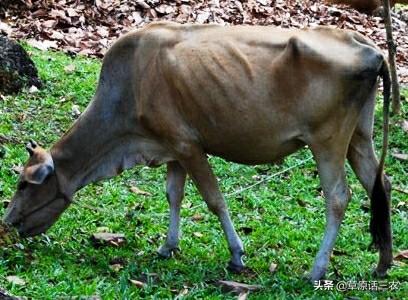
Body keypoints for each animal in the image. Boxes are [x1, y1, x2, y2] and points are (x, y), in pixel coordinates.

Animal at [1, 21, 394, 282]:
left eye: (23, 184)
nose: (8, 222)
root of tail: (368, 46)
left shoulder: (188, 145)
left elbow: (214, 200)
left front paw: (236, 255)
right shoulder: (172, 149)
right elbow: (173, 194)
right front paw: (168, 246)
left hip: (328, 140)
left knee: (338, 197)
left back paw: (317, 268)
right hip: (360, 136)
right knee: (381, 185)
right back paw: (384, 263)